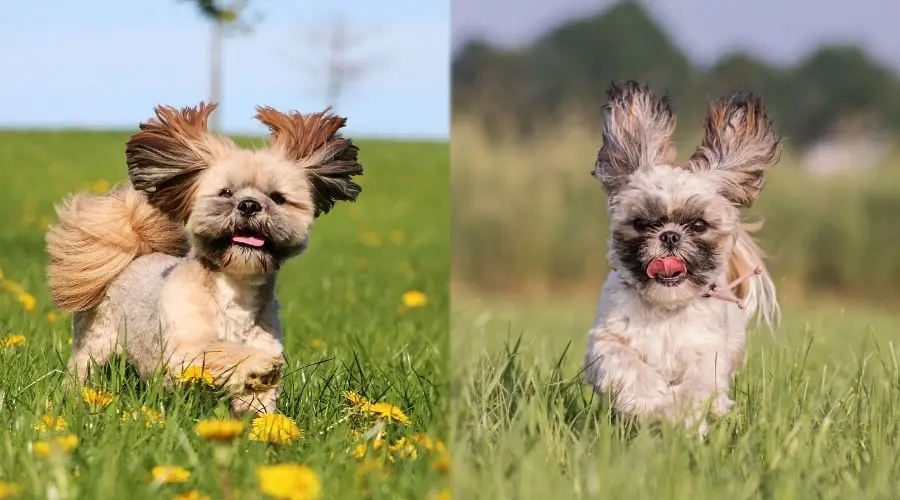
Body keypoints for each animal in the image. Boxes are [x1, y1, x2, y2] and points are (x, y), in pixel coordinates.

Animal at [45, 103, 362, 416]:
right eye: (226, 192)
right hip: (94, 344)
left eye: (278, 197)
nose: (249, 204)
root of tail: (134, 256)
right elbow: (221, 352)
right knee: (81, 370)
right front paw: (258, 363)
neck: (235, 294)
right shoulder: (185, 351)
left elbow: (258, 406)